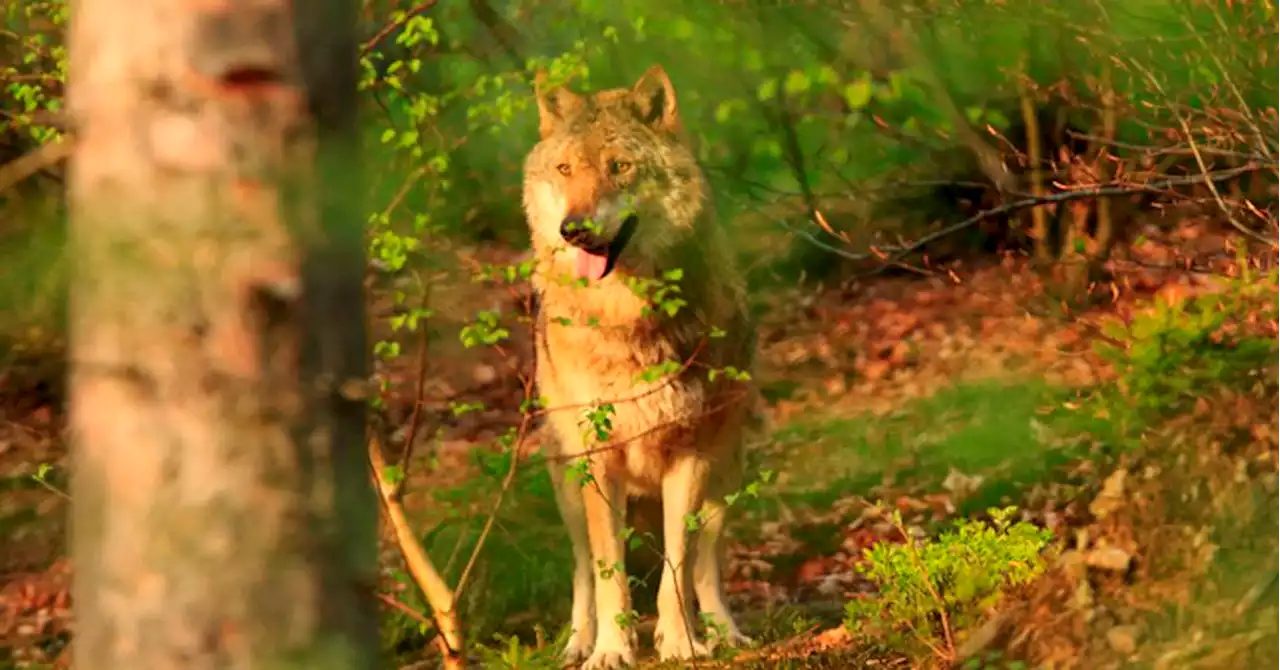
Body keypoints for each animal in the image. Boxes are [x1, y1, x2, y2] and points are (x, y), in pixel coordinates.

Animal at [519, 64, 752, 670]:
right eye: (566, 170)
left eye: (619, 167)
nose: (573, 229)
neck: (628, 317)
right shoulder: (599, 462)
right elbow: (609, 576)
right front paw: (611, 650)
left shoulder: (689, 455)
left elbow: (678, 566)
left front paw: (681, 643)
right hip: (569, 486)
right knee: (583, 569)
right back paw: (578, 642)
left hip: (726, 475)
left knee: (705, 567)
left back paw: (722, 632)